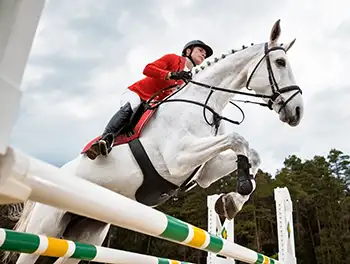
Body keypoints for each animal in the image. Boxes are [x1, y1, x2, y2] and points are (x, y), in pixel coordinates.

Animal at [7, 19, 304, 264]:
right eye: (280, 63)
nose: (298, 111)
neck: (203, 103)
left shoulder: (204, 172)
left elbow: (250, 154)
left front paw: (232, 201)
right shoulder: (178, 160)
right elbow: (237, 138)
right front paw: (239, 190)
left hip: (87, 234)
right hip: (46, 226)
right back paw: (100, 144)